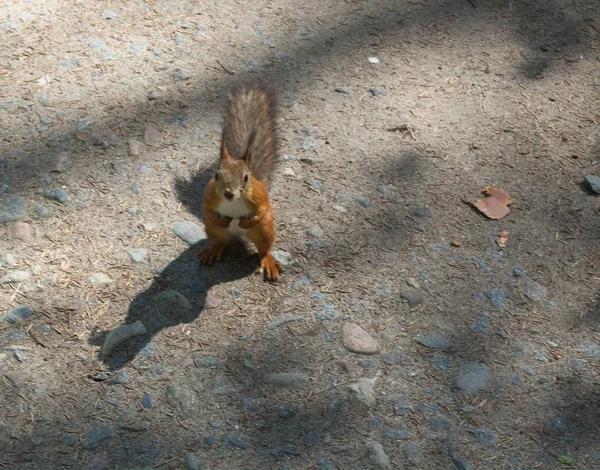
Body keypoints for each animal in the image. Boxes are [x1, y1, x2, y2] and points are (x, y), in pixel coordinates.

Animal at [197, 81, 282, 280]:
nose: (229, 193)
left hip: (265, 231)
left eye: (245, 177)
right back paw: (213, 250)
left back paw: (268, 262)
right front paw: (223, 220)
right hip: (212, 230)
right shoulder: (209, 195)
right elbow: (207, 209)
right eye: (217, 175)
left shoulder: (259, 197)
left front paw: (245, 221)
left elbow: (262, 210)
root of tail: (237, 235)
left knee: (264, 249)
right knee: (221, 241)